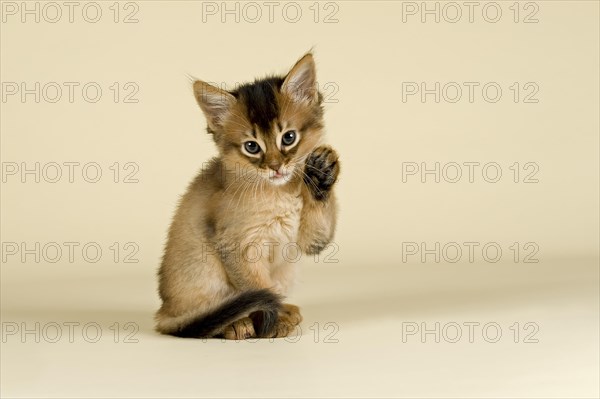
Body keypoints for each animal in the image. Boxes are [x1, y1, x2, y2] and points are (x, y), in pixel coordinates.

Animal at [155, 54, 340, 340]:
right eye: (252, 147)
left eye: (289, 137)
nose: (275, 167)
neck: (279, 193)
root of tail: (163, 312)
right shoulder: (236, 244)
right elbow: (259, 288)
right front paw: (275, 319)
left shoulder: (305, 240)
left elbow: (316, 232)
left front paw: (321, 173)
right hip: (202, 266)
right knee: (197, 319)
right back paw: (235, 324)